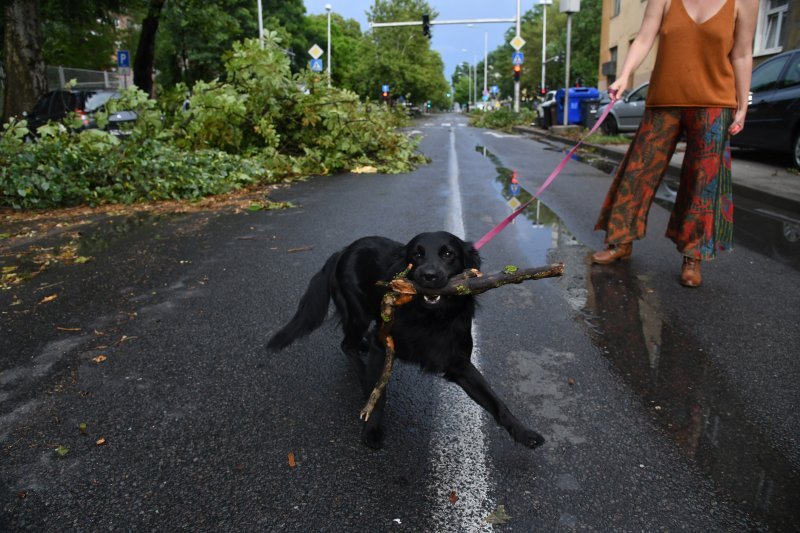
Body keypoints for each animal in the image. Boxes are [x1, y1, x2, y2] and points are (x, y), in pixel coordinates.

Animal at [268, 232, 544, 448]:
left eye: (448, 253)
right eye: (416, 255)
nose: (428, 276)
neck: (430, 318)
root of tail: (342, 251)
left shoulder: (458, 363)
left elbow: (495, 400)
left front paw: (523, 432)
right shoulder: (383, 344)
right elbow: (379, 394)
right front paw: (372, 429)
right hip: (358, 313)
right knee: (347, 345)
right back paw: (362, 374)